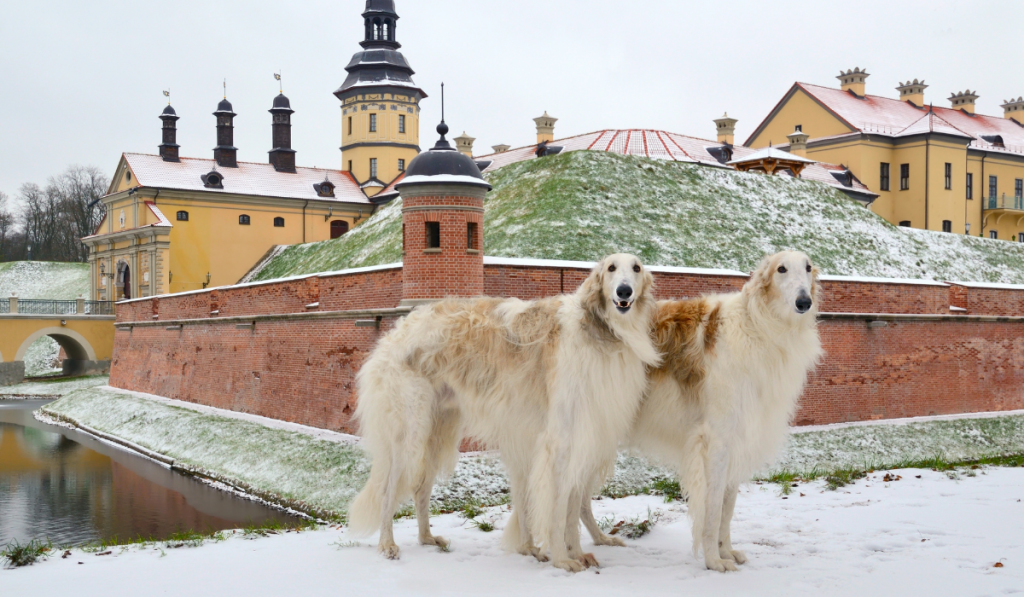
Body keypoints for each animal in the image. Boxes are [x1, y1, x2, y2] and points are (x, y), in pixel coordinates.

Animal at [348, 251, 659, 569]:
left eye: (636, 268)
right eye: (611, 268)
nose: (624, 292)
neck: (599, 330)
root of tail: (395, 332)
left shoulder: (585, 436)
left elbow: (572, 508)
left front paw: (576, 553)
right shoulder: (559, 442)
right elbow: (558, 509)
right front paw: (563, 560)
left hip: (437, 432)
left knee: (420, 489)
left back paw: (427, 538)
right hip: (410, 432)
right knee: (388, 492)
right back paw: (387, 545)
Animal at [581, 249, 827, 573]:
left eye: (808, 267)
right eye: (781, 269)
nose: (803, 302)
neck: (757, 326)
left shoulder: (736, 440)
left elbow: (726, 510)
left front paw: (727, 552)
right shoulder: (715, 442)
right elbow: (711, 510)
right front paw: (713, 560)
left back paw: (598, 539)